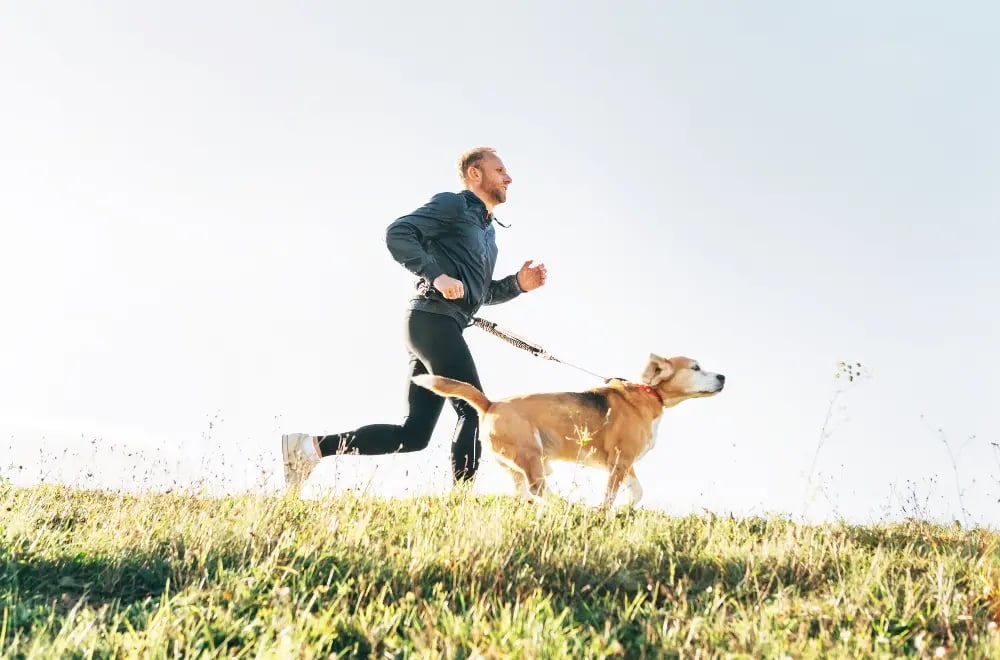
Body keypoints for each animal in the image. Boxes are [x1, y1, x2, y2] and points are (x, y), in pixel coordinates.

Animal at [414, 354, 728, 508]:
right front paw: (606, 513)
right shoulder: (620, 462)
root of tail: (490, 404)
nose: (723, 376)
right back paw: (565, 504)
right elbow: (610, 496)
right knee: (537, 488)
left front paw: (626, 509)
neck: (650, 393)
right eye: (696, 368)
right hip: (532, 455)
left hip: (522, 463)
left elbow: (637, 491)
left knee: (525, 491)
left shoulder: (624, 463)